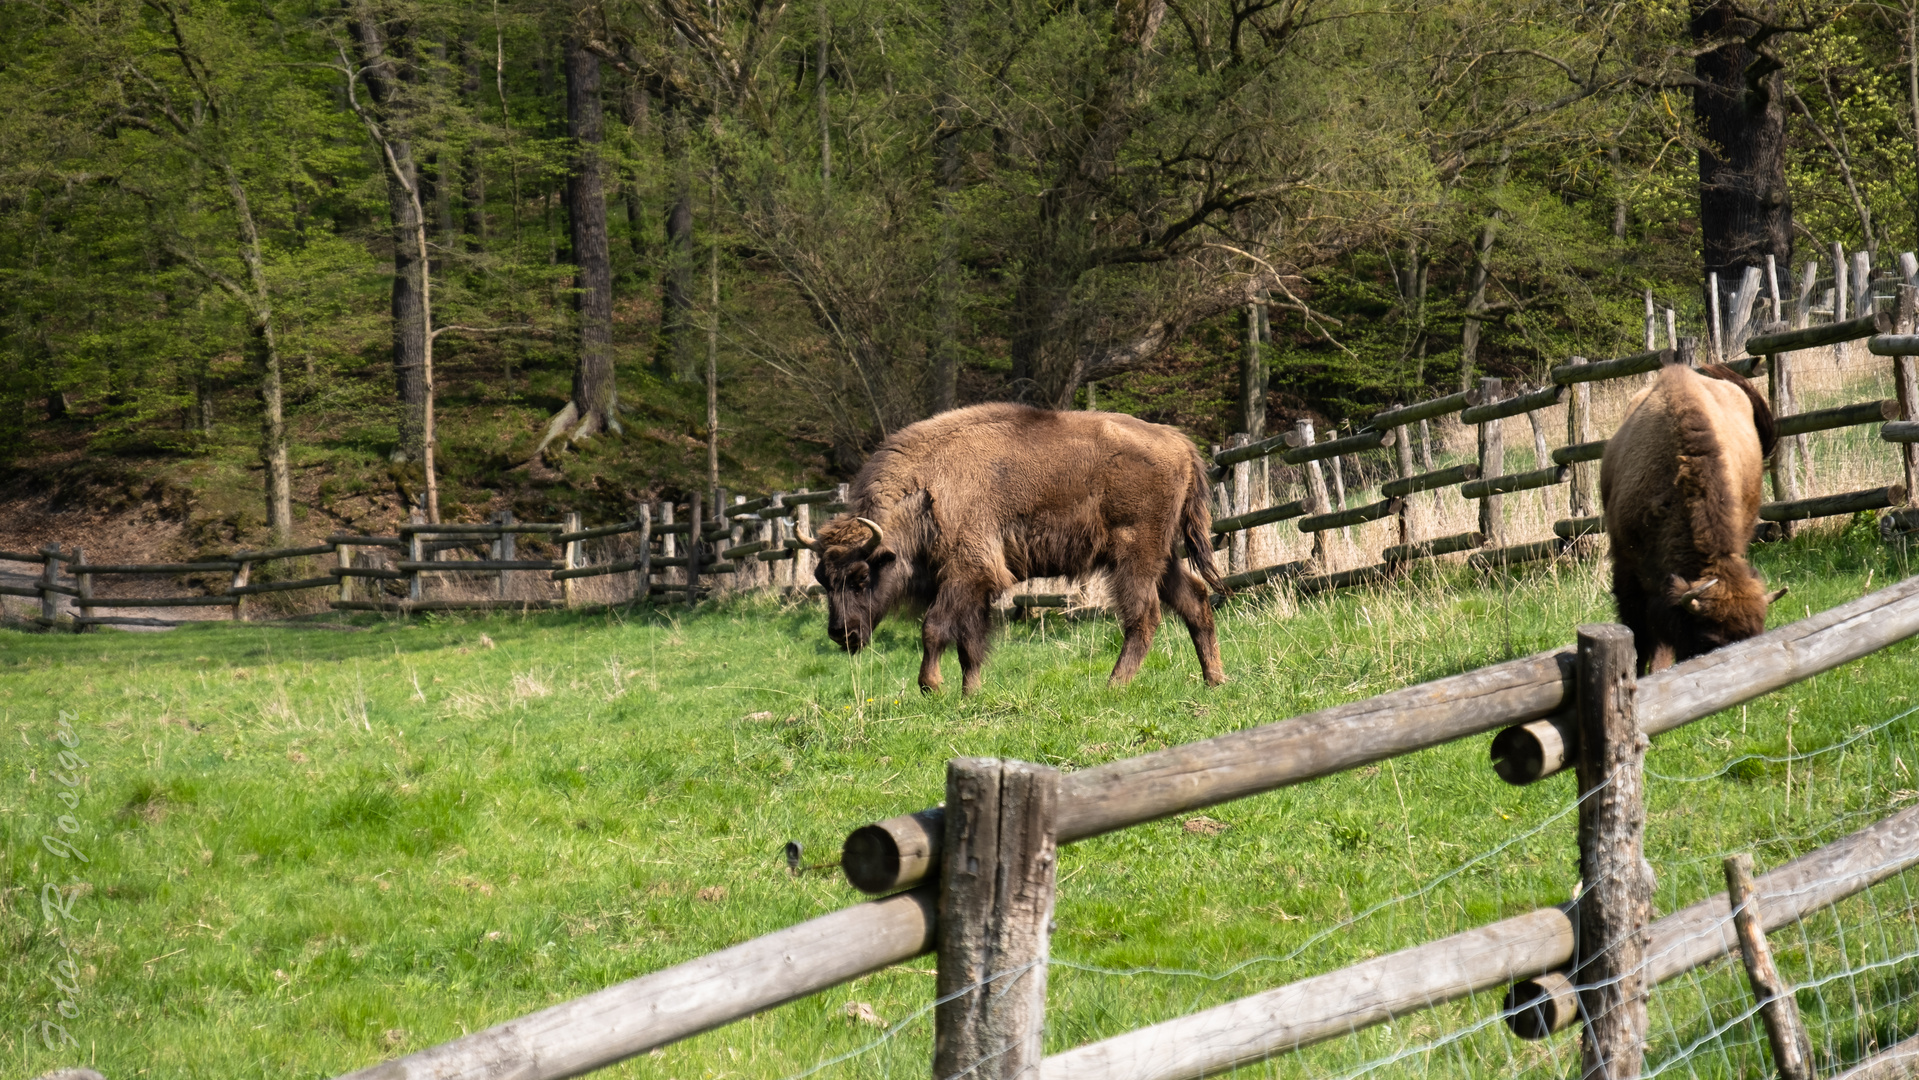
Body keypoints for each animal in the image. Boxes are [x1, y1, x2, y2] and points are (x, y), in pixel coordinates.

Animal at [798, 402, 1220, 694]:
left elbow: (934, 628)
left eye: (860, 577)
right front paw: (970, 694)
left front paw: (931, 686)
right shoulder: (974, 587)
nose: (841, 633)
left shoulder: (966, 574)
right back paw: (1214, 679)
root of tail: (1179, 442)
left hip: (1134, 556)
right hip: (1163, 557)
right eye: (822, 579)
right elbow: (968, 642)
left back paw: (1113, 684)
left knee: (1144, 616)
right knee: (1195, 599)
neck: (924, 490)